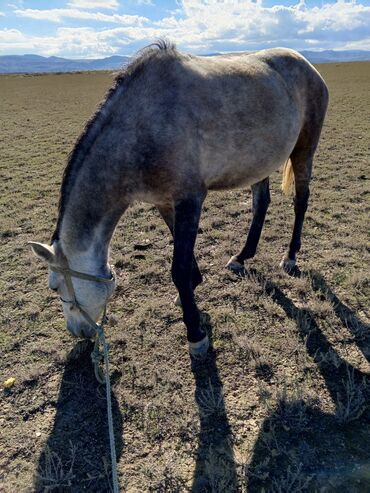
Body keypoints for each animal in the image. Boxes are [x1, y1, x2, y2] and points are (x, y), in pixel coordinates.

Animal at [30, 41, 328, 358]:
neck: (143, 127)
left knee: (301, 201)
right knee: (261, 203)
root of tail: (306, 64)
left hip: (304, 149)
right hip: (260, 162)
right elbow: (182, 254)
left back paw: (290, 256)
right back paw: (241, 256)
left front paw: (195, 333)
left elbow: (179, 268)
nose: (77, 332)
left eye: (53, 287)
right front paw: (189, 295)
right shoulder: (165, 202)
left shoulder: (190, 199)